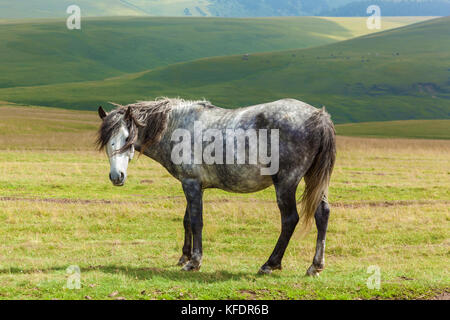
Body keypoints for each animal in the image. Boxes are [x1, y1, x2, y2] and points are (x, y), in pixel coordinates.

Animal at [96, 97, 336, 276]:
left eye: (128, 137)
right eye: (107, 140)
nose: (117, 176)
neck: (175, 126)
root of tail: (319, 116)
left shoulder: (191, 184)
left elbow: (196, 221)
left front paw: (194, 262)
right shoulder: (193, 185)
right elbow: (187, 221)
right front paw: (184, 256)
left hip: (286, 183)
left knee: (289, 220)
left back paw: (270, 264)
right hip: (314, 180)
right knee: (322, 214)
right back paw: (315, 266)